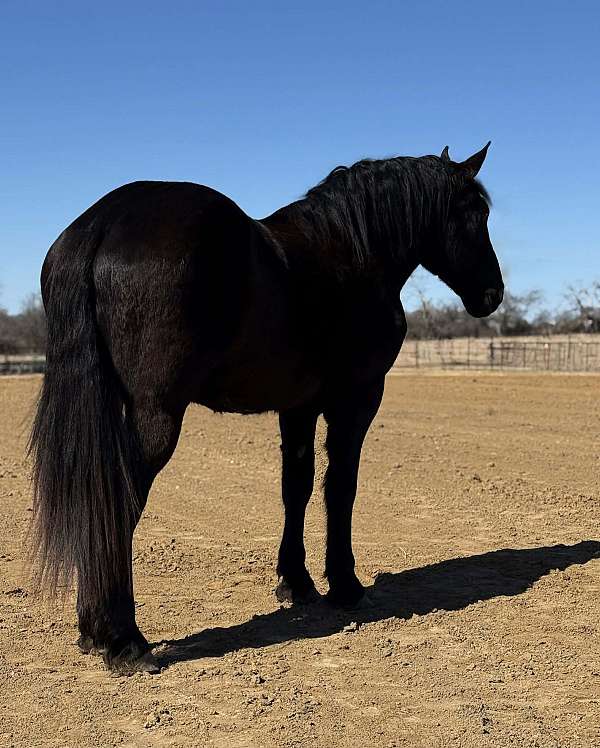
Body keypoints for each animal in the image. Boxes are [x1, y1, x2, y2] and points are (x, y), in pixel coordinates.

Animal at [29, 143, 504, 674]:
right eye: (476, 212)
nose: (492, 293)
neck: (352, 256)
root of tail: (105, 221)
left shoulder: (297, 407)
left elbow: (296, 487)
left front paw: (296, 583)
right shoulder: (356, 399)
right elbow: (341, 487)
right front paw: (345, 585)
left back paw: (94, 631)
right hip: (156, 419)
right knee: (116, 503)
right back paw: (123, 640)